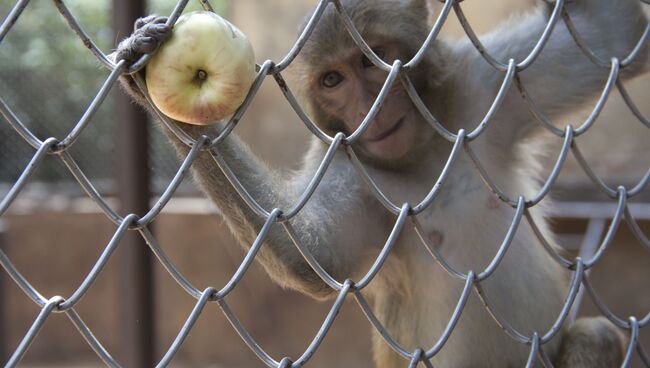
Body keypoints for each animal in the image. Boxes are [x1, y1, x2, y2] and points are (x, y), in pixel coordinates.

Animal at [114, 0, 644, 366]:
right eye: (332, 80)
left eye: (372, 62)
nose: (371, 107)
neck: (422, 156)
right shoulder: (346, 165)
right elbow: (311, 253)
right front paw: (149, 84)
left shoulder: (485, 86)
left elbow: (612, 33)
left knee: (597, 335)